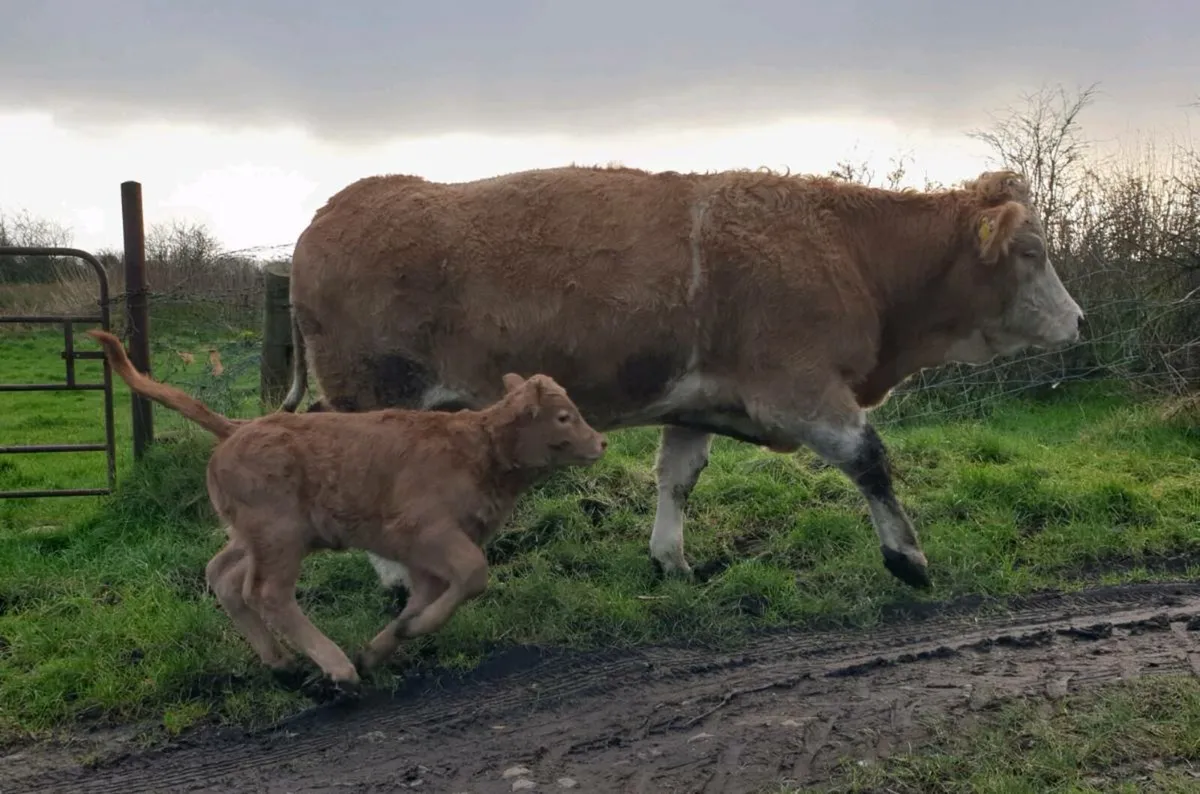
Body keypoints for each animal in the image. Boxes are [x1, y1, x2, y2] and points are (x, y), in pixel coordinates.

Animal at [86, 328, 607, 691]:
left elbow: (426, 597)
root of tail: (240, 426)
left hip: (254, 535)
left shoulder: (424, 555)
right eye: (564, 416)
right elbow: (474, 575)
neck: (479, 449)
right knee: (267, 592)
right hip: (279, 536)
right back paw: (334, 667)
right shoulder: (426, 530)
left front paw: (384, 645)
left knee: (224, 576)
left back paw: (283, 664)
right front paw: (392, 641)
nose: (601, 441)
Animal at [279, 165, 1084, 593]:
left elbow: (677, 478)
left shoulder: (698, 404)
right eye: (1033, 252)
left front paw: (671, 559)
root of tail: (343, 203)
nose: (1077, 320)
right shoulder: (801, 388)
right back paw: (395, 581)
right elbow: (871, 462)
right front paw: (907, 558)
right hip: (372, 392)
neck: (846, 250)